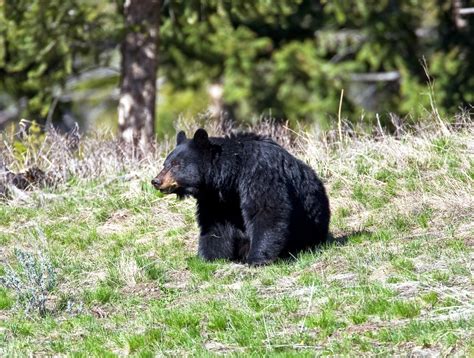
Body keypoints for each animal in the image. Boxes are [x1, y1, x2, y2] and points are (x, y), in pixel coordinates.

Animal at [152, 129, 330, 266]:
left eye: (176, 164)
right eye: (165, 164)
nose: (156, 181)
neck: (232, 177)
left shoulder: (260, 173)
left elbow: (266, 210)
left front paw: (256, 259)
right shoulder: (214, 199)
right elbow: (216, 225)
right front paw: (208, 257)